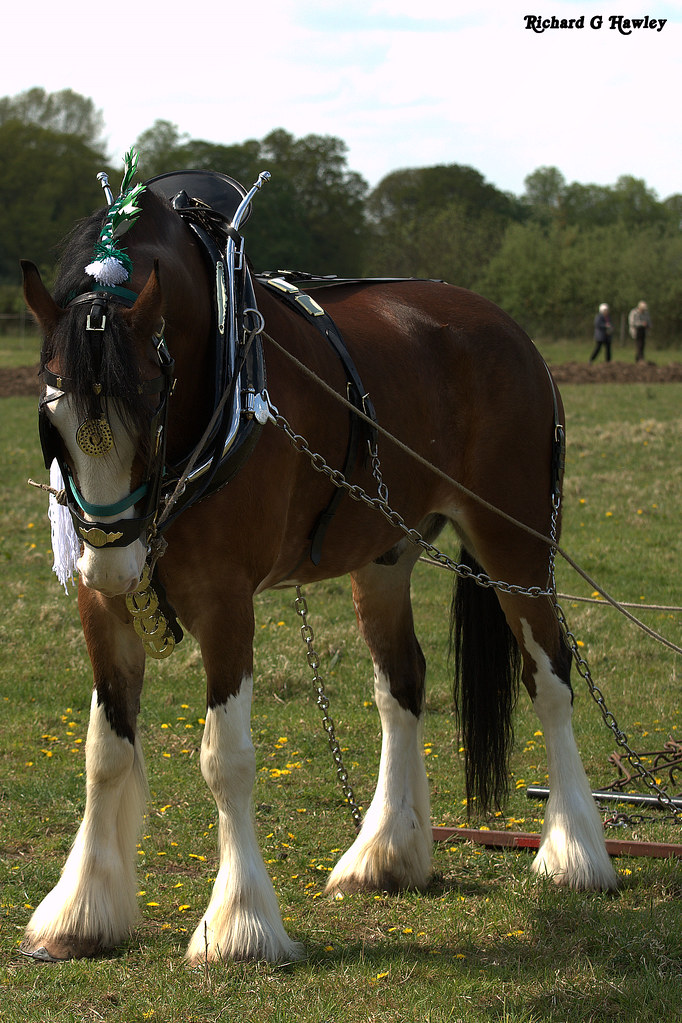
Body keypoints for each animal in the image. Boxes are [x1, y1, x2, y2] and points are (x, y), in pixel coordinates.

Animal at [20, 164, 617, 964]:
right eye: (50, 419)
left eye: (150, 407)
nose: (118, 563)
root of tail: (511, 331)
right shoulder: (101, 607)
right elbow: (104, 752)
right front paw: (81, 912)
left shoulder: (227, 600)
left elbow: (226, 757)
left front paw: (241, 924)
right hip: (385, 555)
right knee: (402, 682)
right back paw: (387, 853)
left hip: (514, 541)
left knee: (550, 675)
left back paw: (575, 850)